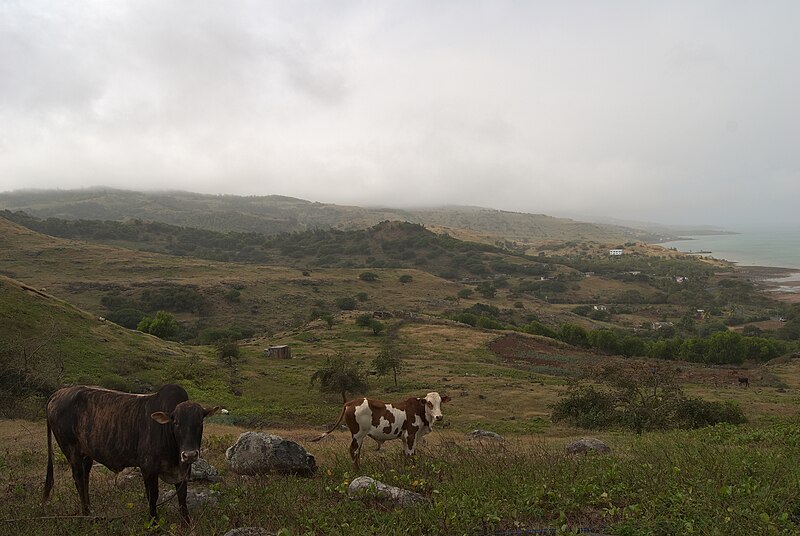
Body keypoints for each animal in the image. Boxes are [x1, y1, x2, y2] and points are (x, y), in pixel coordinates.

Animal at [43, 384, 219, 520]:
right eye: (176, 422)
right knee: (79, 480)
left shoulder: (181, 472)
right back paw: (86, 515)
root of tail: (57, 394)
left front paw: (186, 523)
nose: (189, 455)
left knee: (85, 479)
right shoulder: (148, 469)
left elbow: (182, 497)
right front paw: (153, 523)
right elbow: (152, 497)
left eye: (200, 421)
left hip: (87, 454)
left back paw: (90, 512)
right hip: (71, 450)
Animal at [312, 390, 450, 468]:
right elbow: (411, 455)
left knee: (357, 452)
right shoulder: (411, 435)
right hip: (358, 434)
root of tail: (350, 403)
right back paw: (357, 471)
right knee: (354, 451)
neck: (419, 411)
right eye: (429, 403)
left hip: (359, 437)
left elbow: (406, 454)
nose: (439, 416)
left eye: (440, 403)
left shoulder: (405, 438)